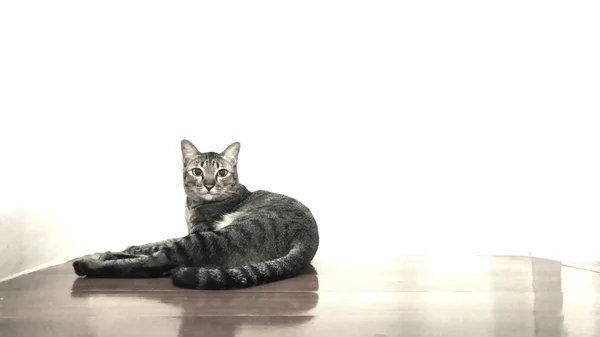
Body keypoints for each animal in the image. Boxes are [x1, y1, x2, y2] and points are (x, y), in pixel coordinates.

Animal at [71, 139, 318, 288]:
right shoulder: (188, 229)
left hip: (217, 237)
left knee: (156, 263)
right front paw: (131, 247)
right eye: (197, 171)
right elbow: (157, 241)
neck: (194, 203)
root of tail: (306, 240)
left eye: (222, 172)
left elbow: (159, 247)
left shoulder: (197, 231)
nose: (208, 185)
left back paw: (89, 263)